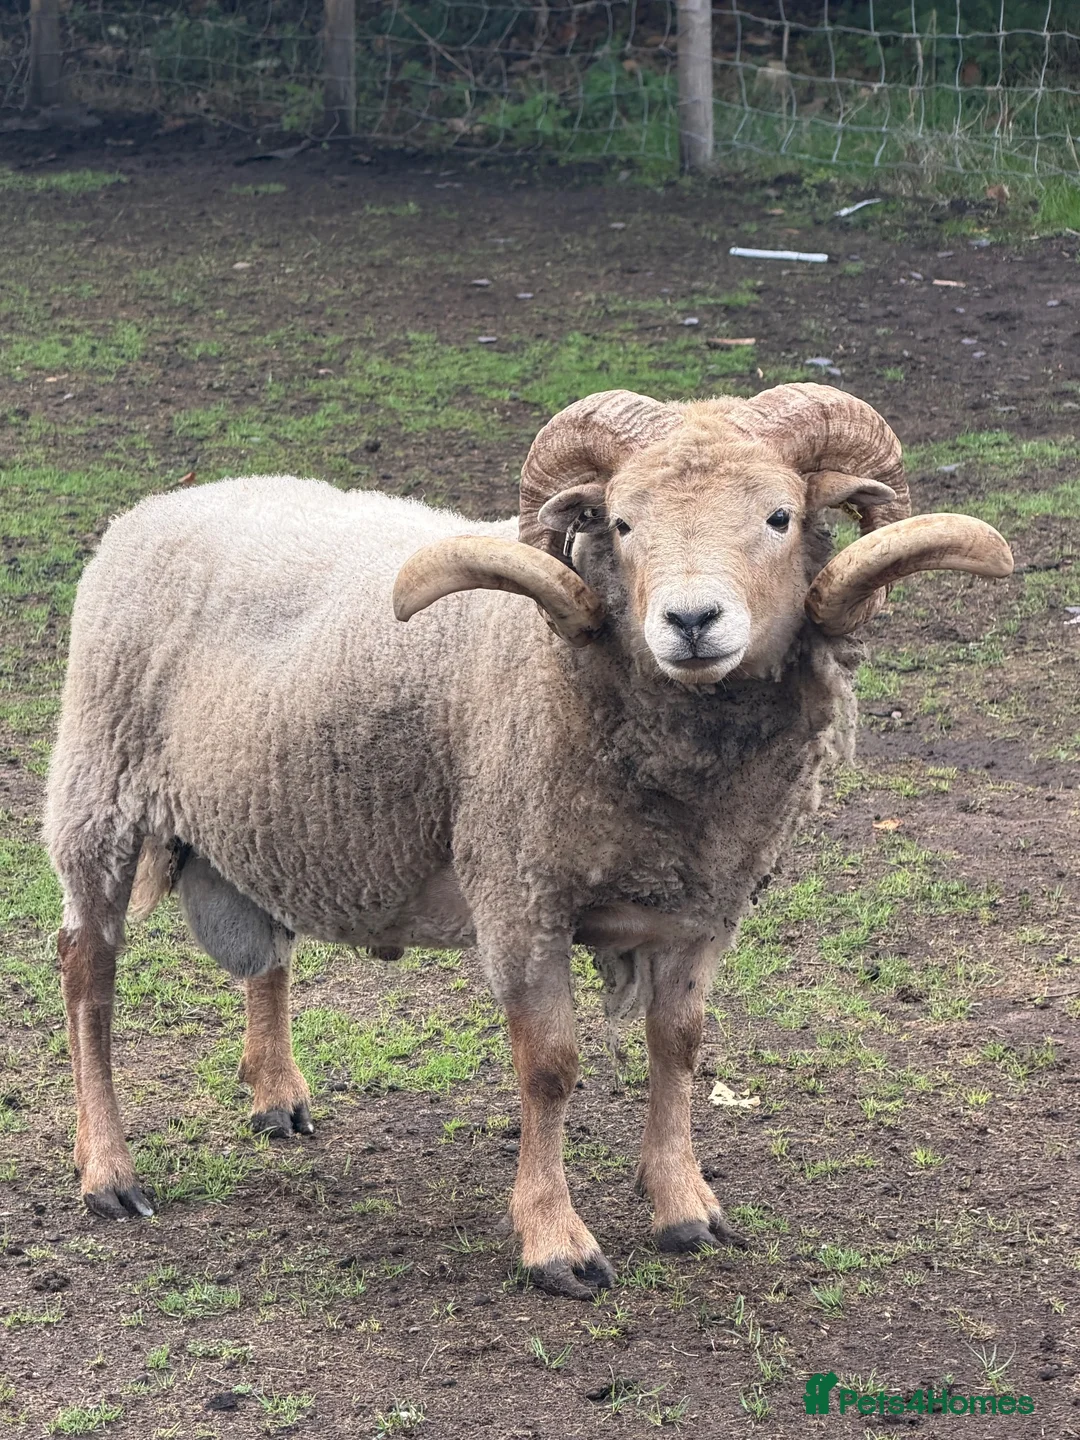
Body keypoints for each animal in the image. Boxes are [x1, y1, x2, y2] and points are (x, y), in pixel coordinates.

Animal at [44, 383, 1012, 1298]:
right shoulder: (520, 891)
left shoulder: (704, 906)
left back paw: (277, 1098)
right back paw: (109, 1173)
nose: (692, 622)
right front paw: (556, 1242)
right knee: (88, 972)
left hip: (268, 819)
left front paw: (684, 1207)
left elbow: (680, 1045)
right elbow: (549, 1068)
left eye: (779, 517)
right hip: (97, 790)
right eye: (620, 523)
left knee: (267, 953)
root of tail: (167, 503)